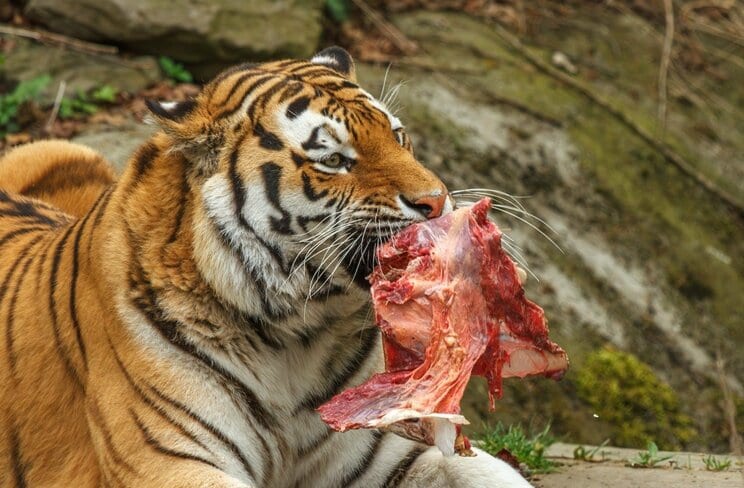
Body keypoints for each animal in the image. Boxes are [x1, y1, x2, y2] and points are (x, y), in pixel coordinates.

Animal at [0, 47, 531, 487]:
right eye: (334, 160)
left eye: (398, 136)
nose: (437, 202)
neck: (297, 337)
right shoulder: (167, 461)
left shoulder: (378, 449)